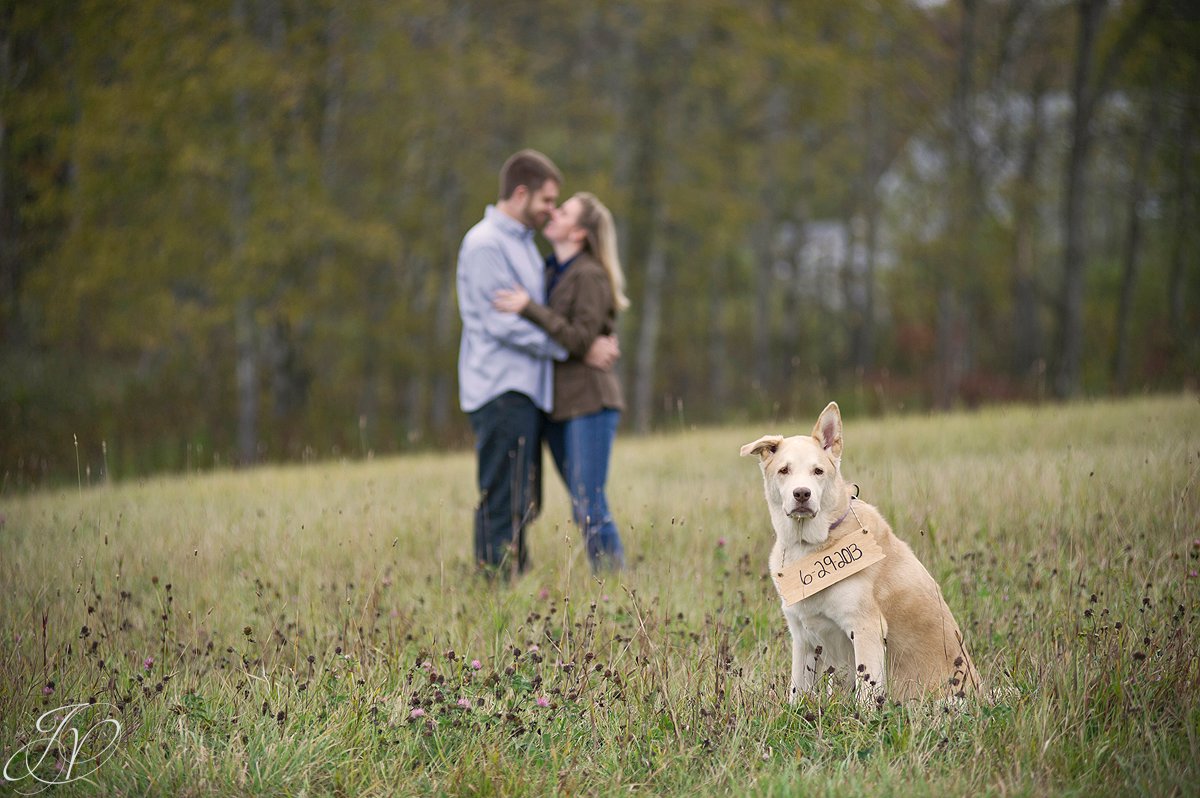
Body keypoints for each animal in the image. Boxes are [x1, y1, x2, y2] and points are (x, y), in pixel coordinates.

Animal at [739, 400, 984, 700]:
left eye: (818, 471)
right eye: (784, 470)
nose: (802, 494)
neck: (811, 543)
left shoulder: (865, 629)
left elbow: (866, 697)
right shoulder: (802, 637)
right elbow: (797, 691)